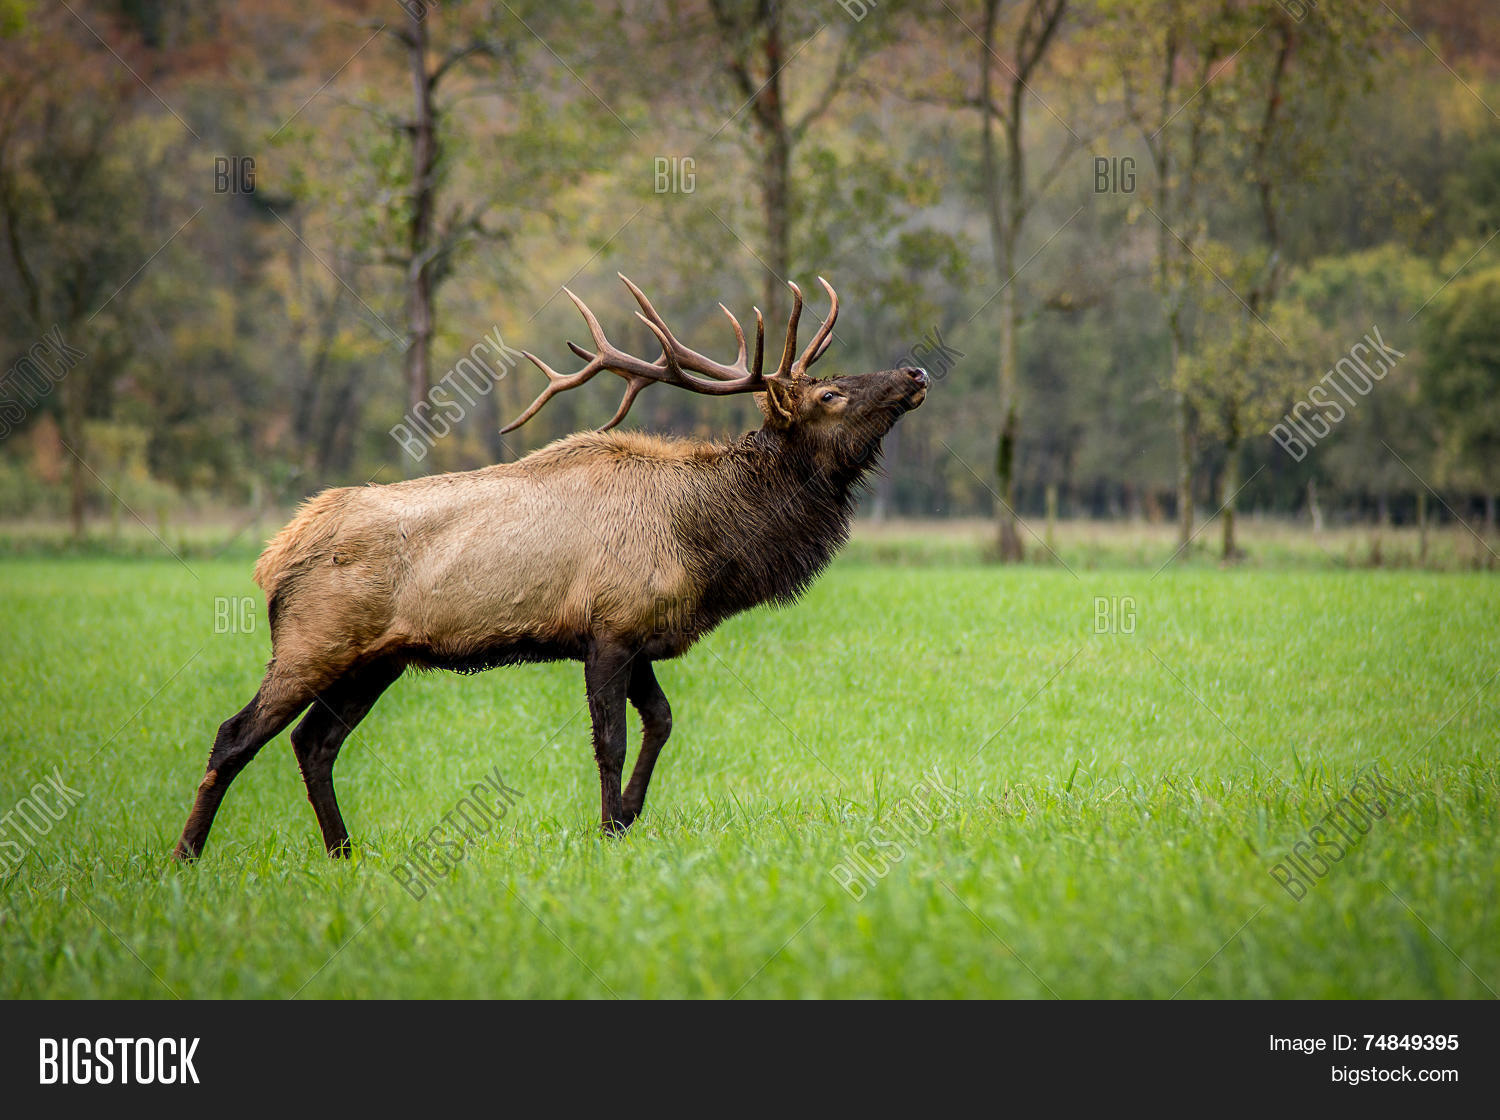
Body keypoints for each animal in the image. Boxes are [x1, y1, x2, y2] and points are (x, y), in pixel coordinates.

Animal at [172, 274, 927, 860]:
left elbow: (661, 722)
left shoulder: (640, 637)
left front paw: (628, 818)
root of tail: (274, 558)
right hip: (312, 642)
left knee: (314, 743)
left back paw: (342, 852)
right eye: (829, 395)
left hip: (375, 659)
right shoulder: (609, 630)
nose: (915, 373)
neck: (705, 542)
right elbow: (611, 740)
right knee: (235, 736)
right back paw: (187, 855)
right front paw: (608, 831)